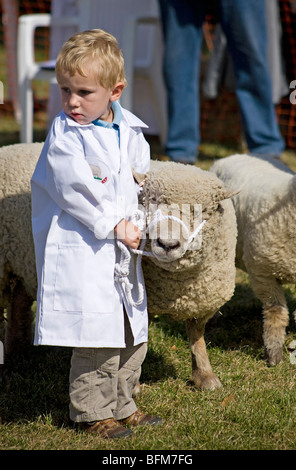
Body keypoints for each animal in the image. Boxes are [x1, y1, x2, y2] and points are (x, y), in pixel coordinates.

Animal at [0, 142, 236, 390]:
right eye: (151, 200)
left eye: (202, 210)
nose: (167, 244)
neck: (176, 287)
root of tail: (10, 147)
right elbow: (136, 343)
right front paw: (134, 383)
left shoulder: (203, 299)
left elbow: (196, 334)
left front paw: (205, 375)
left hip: (22, 263)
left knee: (19, 303)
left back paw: (18, 352)